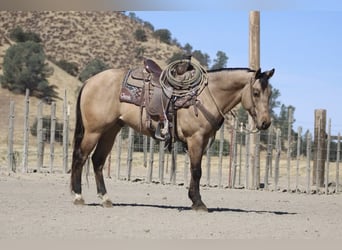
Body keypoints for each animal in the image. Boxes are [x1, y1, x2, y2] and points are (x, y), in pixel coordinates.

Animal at [70, 60, 276, 211]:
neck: (206, 96)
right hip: (94, 131)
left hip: (110, 131)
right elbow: (196, 171)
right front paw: (198, 203)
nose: (265, 123)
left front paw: (194, 200)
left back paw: (105, 199)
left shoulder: (202, 141)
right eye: (256, 93)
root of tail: (90, 81)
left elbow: (195, 170)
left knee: (97, 161)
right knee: (81, 157)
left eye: (270, 93)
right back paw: (78, 196)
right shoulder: (195, 139)